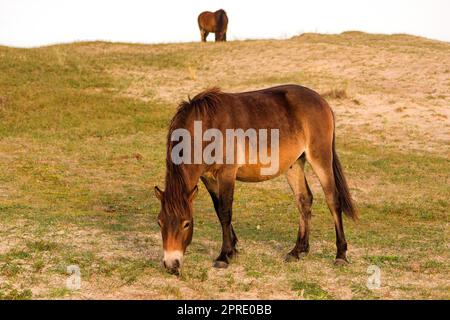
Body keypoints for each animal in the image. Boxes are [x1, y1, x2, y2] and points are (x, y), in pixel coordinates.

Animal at [155, 84, 358, 276]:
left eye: (186, 223)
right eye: (160, 222)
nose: (171, 265)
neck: (206, 128)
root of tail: (322, 101)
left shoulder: (227, 174)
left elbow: (226, 211)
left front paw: (224, 255)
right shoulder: (208, 178)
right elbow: (219, 211)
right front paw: (233, 249)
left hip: (320, 158)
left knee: (333, 200)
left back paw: (340, 254)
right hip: (294, 164)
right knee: (304, 200)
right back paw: (298, 250)